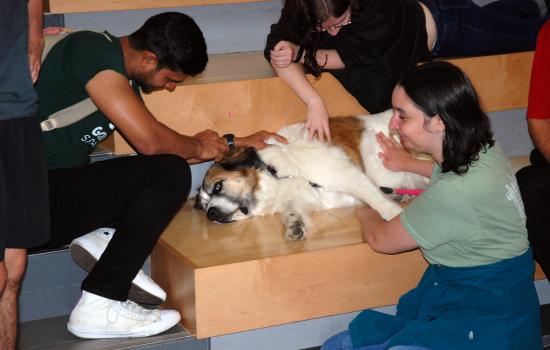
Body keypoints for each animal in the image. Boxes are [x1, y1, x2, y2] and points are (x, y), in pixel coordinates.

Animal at [194, 109, 432, 241]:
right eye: (205, 206)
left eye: (217, 186)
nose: (211, 214)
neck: (278, 173)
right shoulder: (309, 197)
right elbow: (290, 210)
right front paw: (294, 225)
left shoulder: (349, 176)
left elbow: (378, 203)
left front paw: (395, 217)